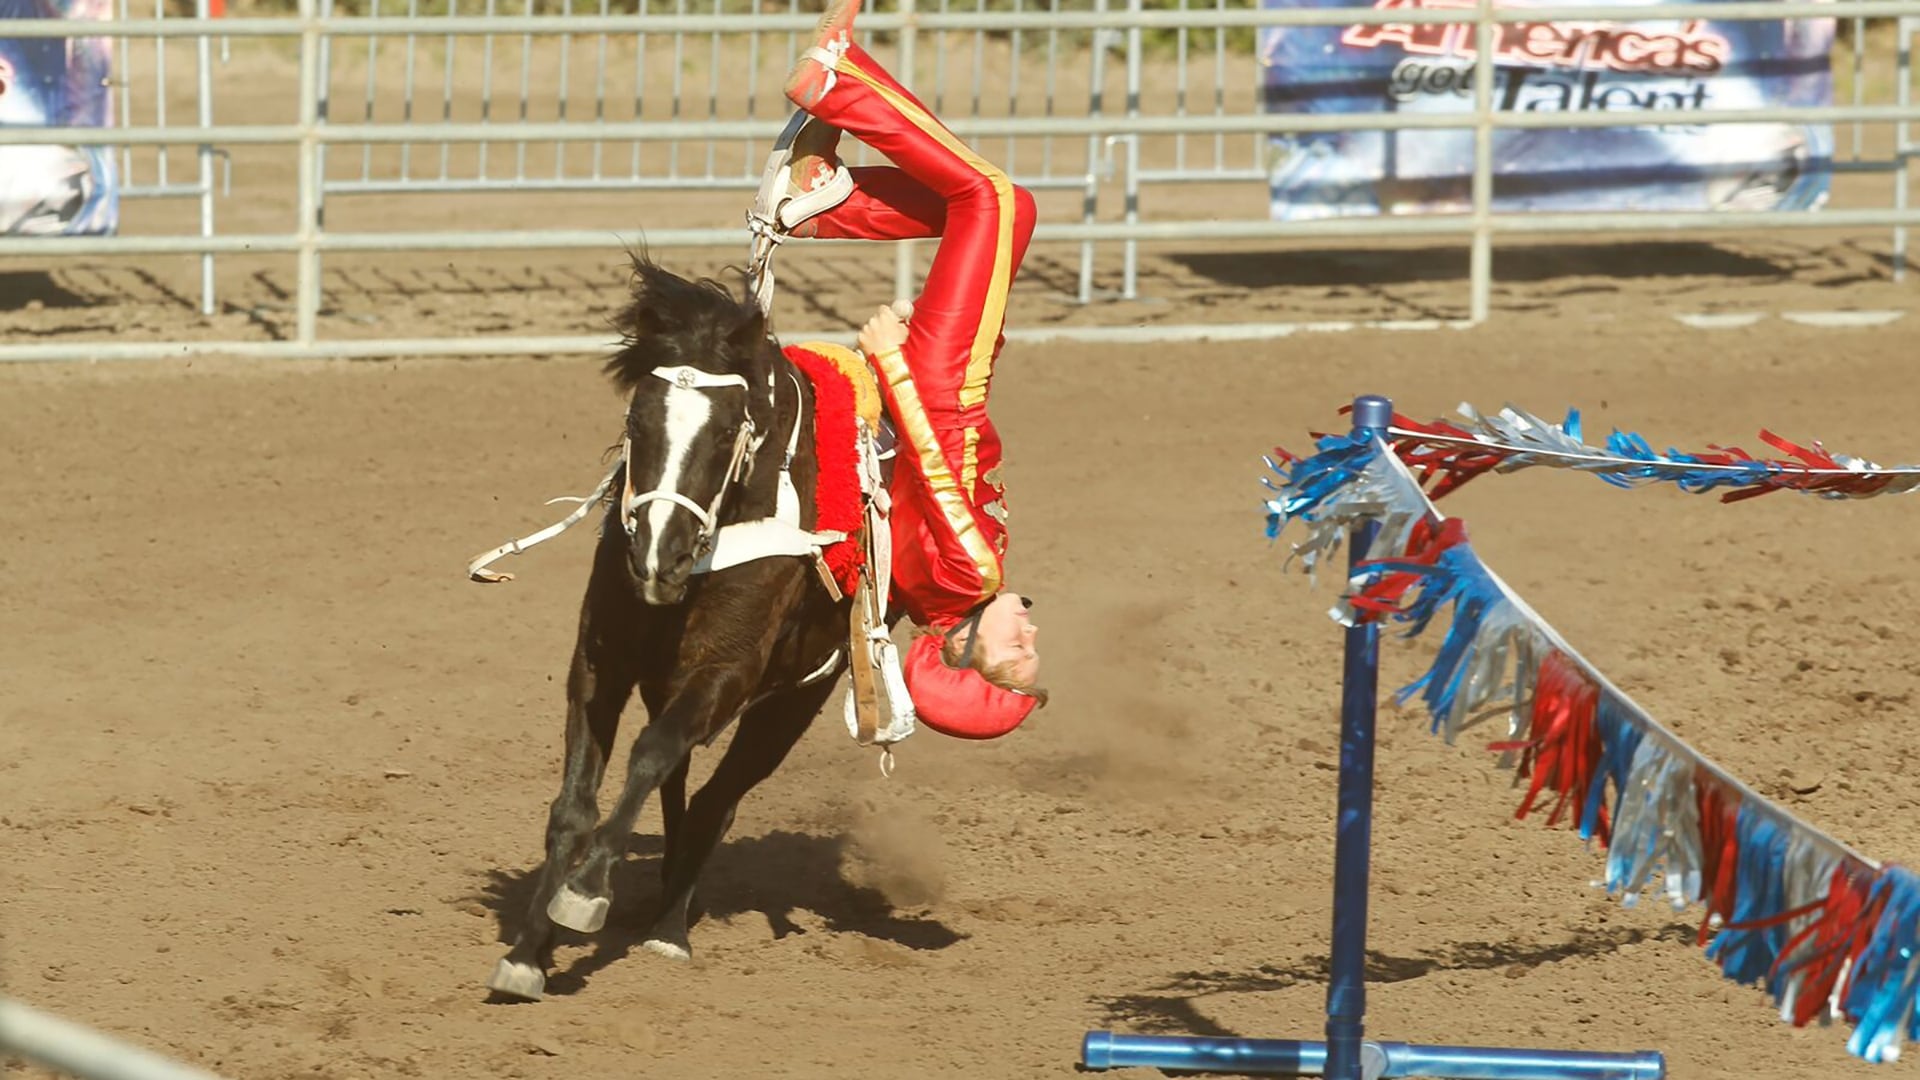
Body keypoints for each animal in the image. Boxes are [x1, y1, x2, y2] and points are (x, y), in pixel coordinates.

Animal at [487, 255, 856, 999]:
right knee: (684, 790)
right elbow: (576, 806)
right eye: (638, 418)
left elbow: (650, 755)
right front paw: (529, 950)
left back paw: (668, 928)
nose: (660, 553)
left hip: (793, 702)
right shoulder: (600, 663)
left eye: (726, 429)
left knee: (717, 796)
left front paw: (585, 893)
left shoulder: (727, 672)